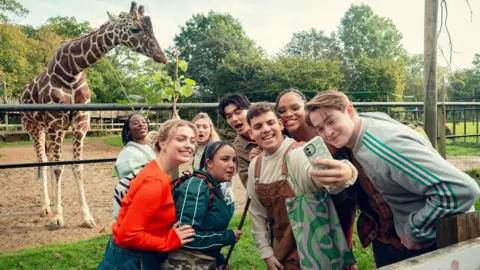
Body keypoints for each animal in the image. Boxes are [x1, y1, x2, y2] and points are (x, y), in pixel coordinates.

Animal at [20, 2, 167, 230]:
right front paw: (57, 218)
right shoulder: (54, 122)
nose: (162, 56)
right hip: (35, 128)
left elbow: (77, 167)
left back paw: (55, 202)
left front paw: (86, 217)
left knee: (50, 159)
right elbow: (58, 168)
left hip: (56, 130)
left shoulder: (81, 121)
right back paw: (46, 207)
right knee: (43, 161)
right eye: (135, 29)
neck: (70, 71)